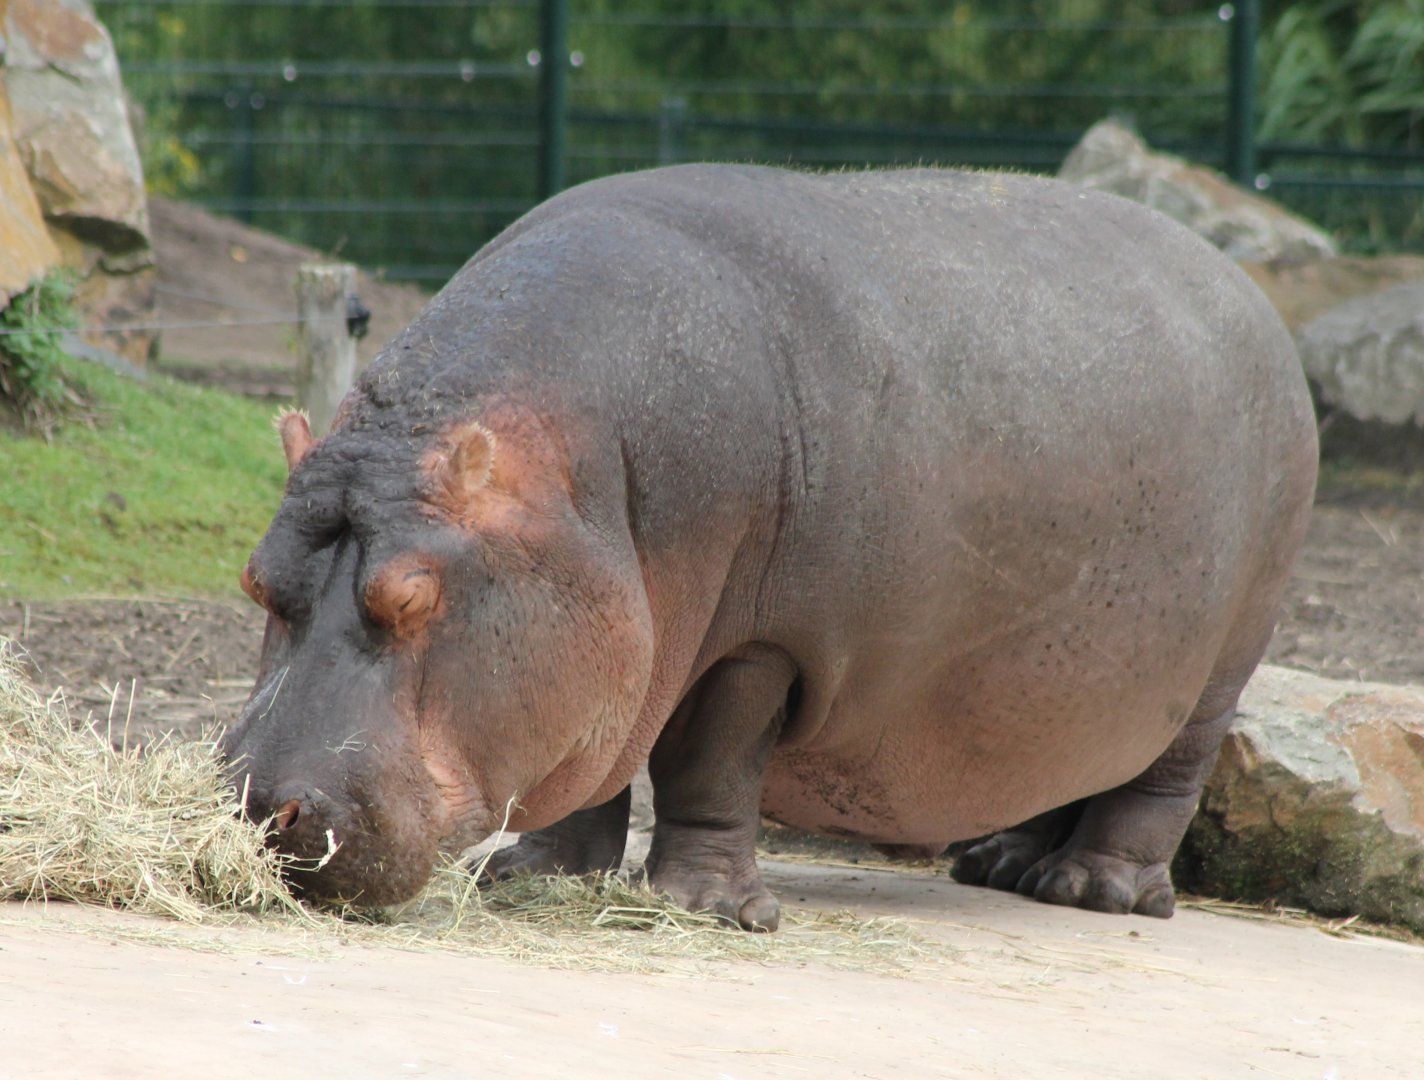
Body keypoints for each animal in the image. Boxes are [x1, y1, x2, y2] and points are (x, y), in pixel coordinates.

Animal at [221, 163, 1317, 930]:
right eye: (255, 583)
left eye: (414, 597)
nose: (262, 809)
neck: (588, 477)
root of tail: (1252, 296)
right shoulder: (619, 645)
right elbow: (595, 760)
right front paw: (532, 874)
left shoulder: (761, 645)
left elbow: (709, 764)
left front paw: (706, 909)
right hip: (1079, 685)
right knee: (1069, 763)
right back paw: (1005, 865)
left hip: (1220, 671)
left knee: (1162, 780)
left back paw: (1092, 889)